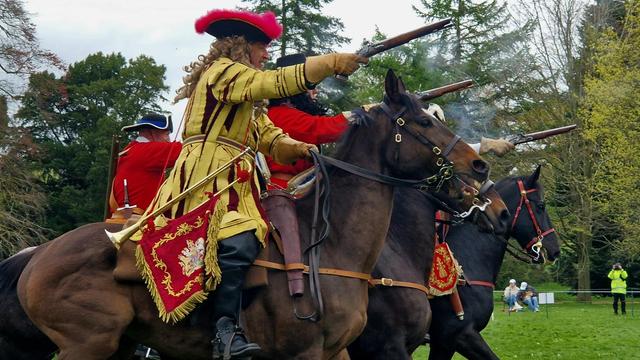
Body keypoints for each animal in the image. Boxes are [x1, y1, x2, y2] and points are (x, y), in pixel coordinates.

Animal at [16, 69, 510, 358]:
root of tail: (35, 259)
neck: (329, 247)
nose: (480, 167)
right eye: (424, 121)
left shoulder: (340, 351)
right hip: (87, 345)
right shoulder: (320, 352)